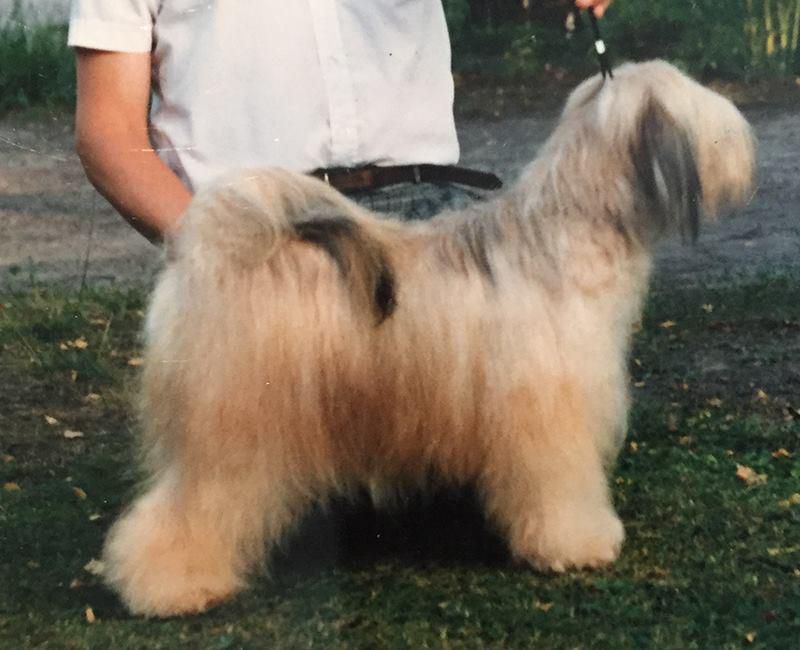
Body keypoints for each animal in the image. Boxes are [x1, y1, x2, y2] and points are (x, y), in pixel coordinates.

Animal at [103, 59, 752, 612]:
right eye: (708, 119)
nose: (748, 149)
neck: (566, 237)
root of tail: (215, 249)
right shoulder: (549, 421)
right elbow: (562, 491)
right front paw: (578, 545)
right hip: (235, 427)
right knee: (190, 508)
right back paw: (172, 586)